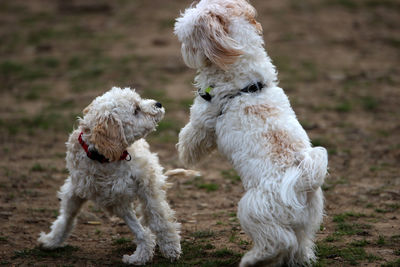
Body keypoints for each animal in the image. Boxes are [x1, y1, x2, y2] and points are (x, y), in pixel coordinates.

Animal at [37, 87, 181, 266]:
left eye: (139, 100)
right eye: (136, 110)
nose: (158, 104)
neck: (106, 158)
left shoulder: (147, 184)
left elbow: (159, 217)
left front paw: (170, 247)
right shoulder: (112, 198)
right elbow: (68, 216)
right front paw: (141, 254)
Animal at [175, 1, 328, 266]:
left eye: (188, 36)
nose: (184, 50)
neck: (247, 85)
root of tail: (302, 182)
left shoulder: (202, 120)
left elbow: (190, 140)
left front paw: (183, 153)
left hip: (253, 210)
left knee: (278, 241)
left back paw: (253, 259)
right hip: (305, 222)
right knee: (298, 243)